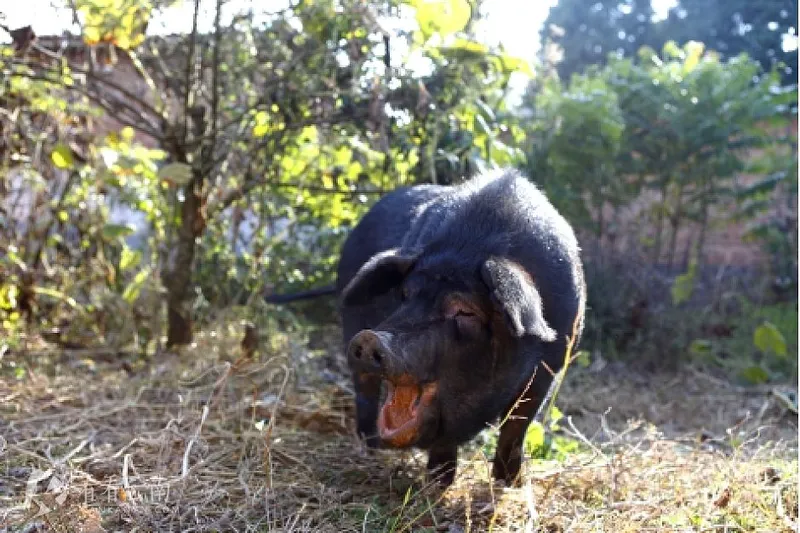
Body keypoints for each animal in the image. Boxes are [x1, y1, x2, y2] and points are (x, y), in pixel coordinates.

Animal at [334, 167, 584, 486]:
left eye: (465, 311)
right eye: (404, 294)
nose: (370, 338)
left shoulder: (549, 368)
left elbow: (516, 427)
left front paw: (509, 483)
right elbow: (444, 439)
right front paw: (439, 482)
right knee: (365, 394)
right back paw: (371, 449)